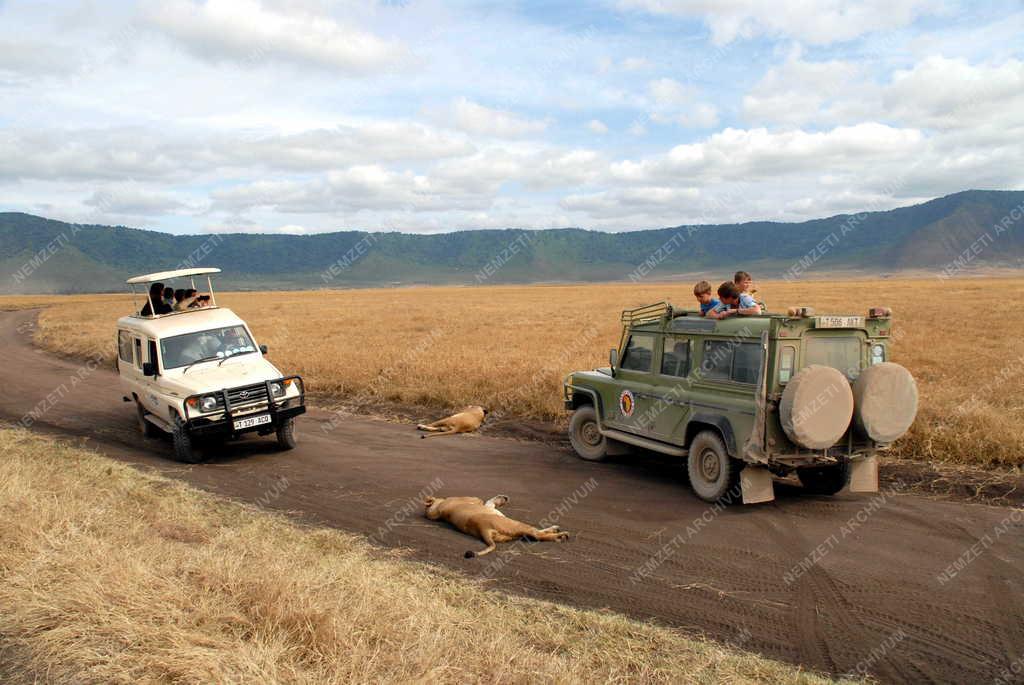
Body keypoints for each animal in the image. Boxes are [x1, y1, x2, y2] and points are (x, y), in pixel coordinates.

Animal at [421, 493, 569, 557]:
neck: (439, 509)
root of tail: (483, 528)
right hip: (516, 524)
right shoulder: (477, 501)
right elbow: (486, 500)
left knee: (535, 534)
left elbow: (489, 501)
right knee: (537, 534)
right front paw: (502, 498)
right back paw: (560, 535)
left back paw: (556, 532)